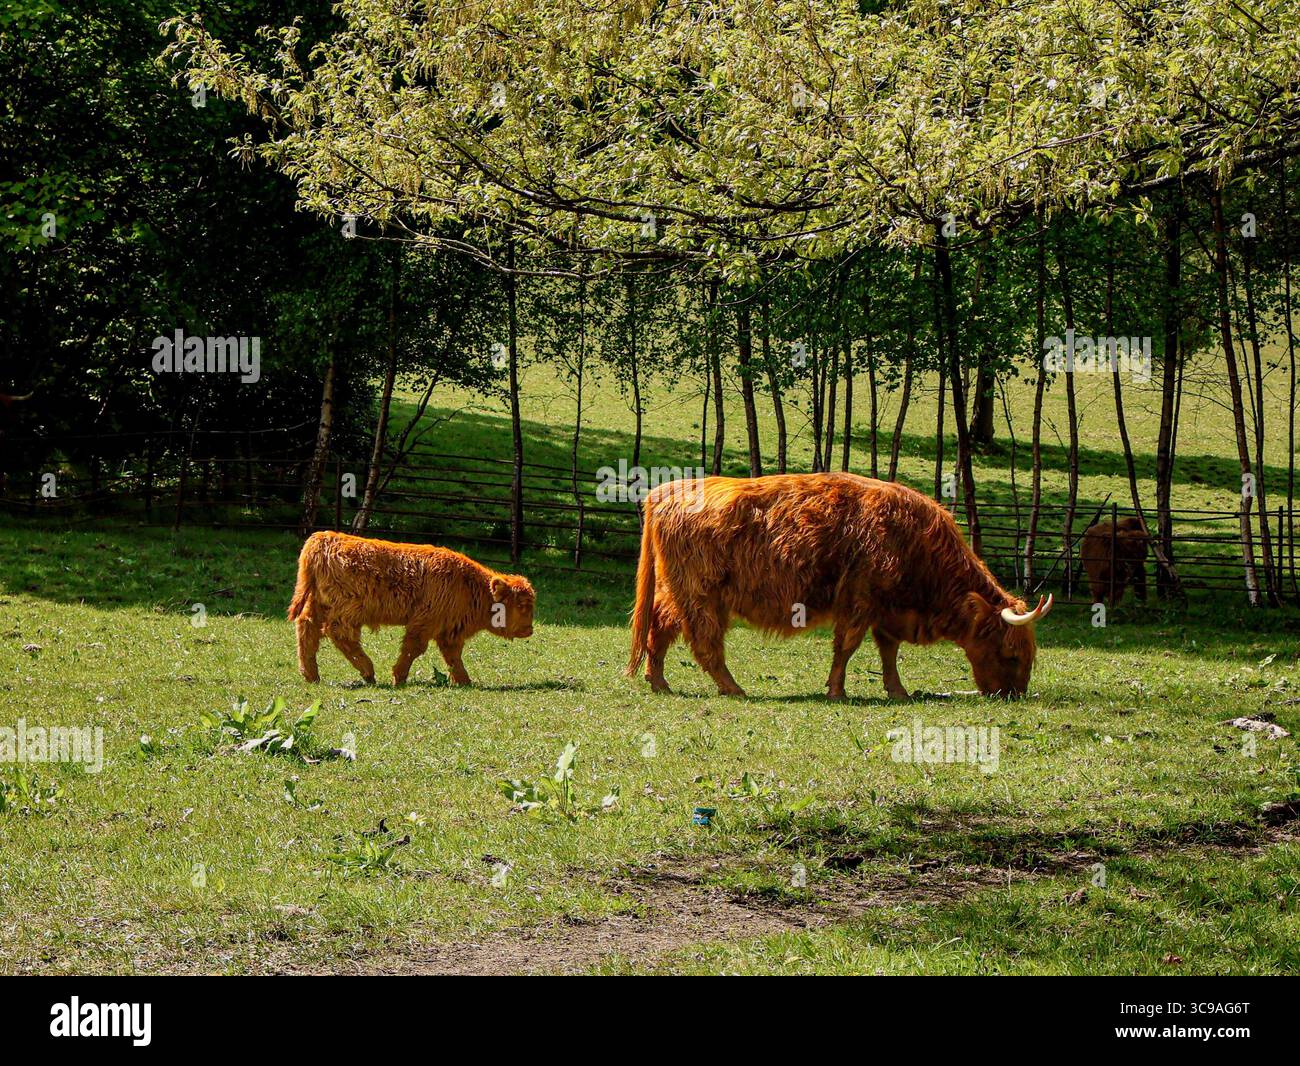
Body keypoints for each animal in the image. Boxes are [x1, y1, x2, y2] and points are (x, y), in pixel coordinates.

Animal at [288, 531, 535, 686]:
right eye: (521, 604)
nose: (530, 629)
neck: (469, 585)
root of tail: (325, 538)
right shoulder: (424, 622)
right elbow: (413, 648)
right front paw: (399, 677)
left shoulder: (449, 631)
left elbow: (453, 656)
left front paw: (464, 681)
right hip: (347, 611)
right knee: (339, 634)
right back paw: (368, 672)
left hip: (317, 605)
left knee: (307, 629)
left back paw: (311, 675)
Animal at [627, 473, 1052, 699]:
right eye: (1011, 654)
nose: (1012, 695)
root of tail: (666, 491)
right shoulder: (860, 599)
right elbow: (847, 646)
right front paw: (836, 691)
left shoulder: (887, 610)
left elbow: (888, 652)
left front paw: (897, 690)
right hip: (702, 595)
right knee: (704, 643)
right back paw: (733, 688)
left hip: (676, 592)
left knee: (659, 628)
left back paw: (659, 682)